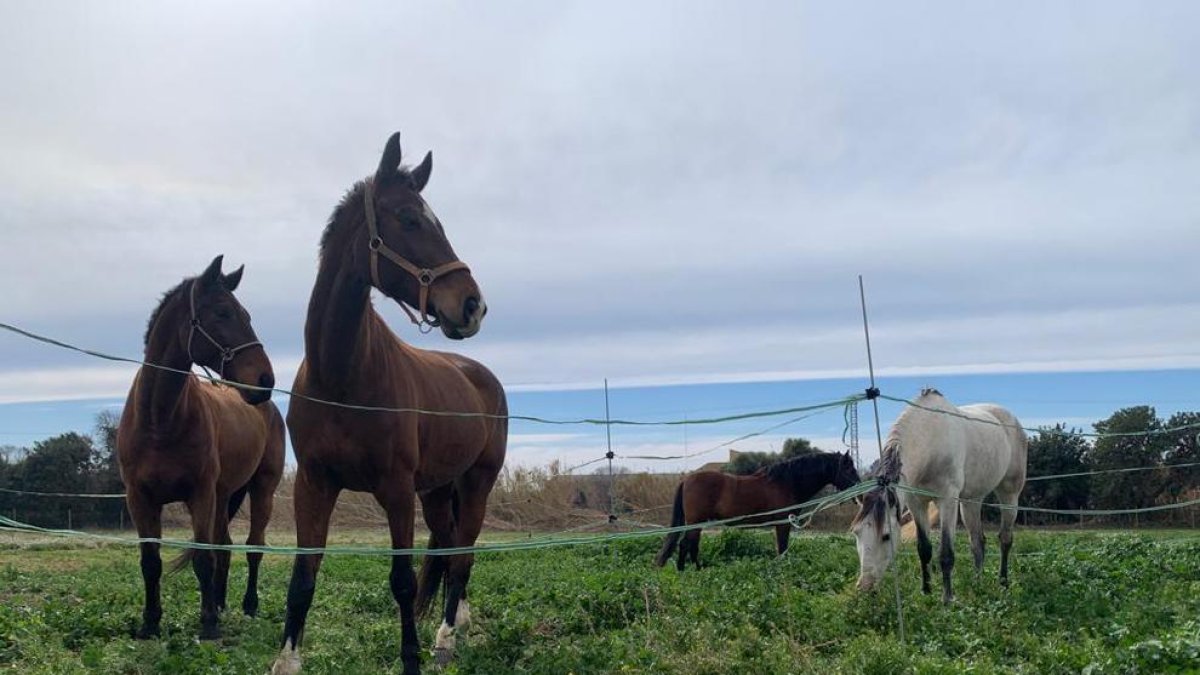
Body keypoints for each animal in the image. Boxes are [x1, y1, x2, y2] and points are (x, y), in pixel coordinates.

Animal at [116, 254, 285, 638]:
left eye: (247, 315)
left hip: (261, 489)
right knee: (226, 548)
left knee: (252, 548)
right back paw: (221, 604)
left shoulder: (200, 494)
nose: (265, 380)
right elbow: (151, 562)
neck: (160, 420)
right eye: (222, 312)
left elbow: (203, 558)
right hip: (224, 497)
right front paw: (150, 623)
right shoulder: (140, 499)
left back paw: (247, 606)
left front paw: (207, 625)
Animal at [273, 132, 506, 672]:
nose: (473, 306)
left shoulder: (396, 490)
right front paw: (287, 661)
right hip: (438, 492)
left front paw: (412, 658)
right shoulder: (313, 485)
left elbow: (401, 583)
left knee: (463, 554)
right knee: (450, 551)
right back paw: (458, 623)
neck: (341, 378)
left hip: (477, 484)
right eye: (408, 218)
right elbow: (302, 580)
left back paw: (445, 637)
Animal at [657, 449, 864, 569]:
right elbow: (782, 549)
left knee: (689, 545)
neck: (786, 482)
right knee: (687, 544)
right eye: (849, 469)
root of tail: (687, 479)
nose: (861, 493)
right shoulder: (783, 524)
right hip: (696, 522)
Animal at [849, 386, 1027, 600]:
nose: (865, 586)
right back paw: (977, 585)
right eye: (856, 532)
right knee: (978, 542)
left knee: (1005, 539)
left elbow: (946, 553)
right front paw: (926, 591)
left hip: (1009, 495)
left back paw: (1003, 583)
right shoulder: (917, 502)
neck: (931, 439)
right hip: (971, 501)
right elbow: (924, 549)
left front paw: (947, 598)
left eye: (886, 536)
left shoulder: (948, 500)